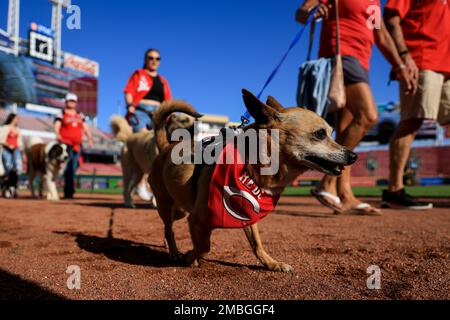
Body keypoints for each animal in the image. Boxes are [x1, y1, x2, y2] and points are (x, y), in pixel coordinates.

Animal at [149, 89, 356, 272]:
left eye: (331, 131)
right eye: (320, 133)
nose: (353, 156)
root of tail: (166, 146)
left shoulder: (247, 213)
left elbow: (256, 244)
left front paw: (271, 264)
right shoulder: (196, 220)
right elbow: (203, 246)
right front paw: (190, 258)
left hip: (180, 210)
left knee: (168, 230)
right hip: (167, 206)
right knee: (168, 228)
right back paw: (174, 252)